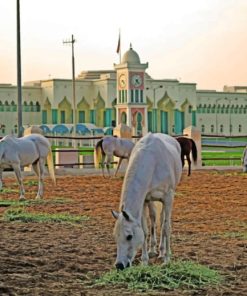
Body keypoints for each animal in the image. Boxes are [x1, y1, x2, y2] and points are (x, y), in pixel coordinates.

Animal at [112, 133, 181, 270]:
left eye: (129, 236)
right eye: (116, 236)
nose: (119, 265)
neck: (153, 162)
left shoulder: (168, 198)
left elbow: (166, 227)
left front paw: (167, 259)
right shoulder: (144, 200)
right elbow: (144, 229)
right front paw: (144, 261)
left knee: (162, 221)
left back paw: (162, 252)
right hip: (151, 201)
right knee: (154, 218)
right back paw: (153, 250)